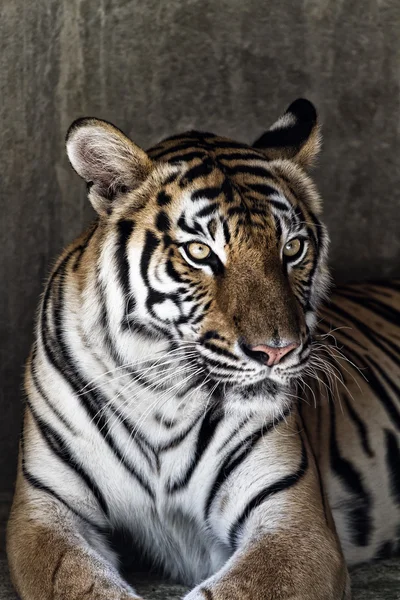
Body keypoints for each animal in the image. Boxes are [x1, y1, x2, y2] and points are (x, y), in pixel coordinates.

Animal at [7, 98, 400, 600]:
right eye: (199, 252)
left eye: (293, 248)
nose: (277, 352)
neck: (160, 390)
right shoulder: (43, 510)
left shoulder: (295, 521)